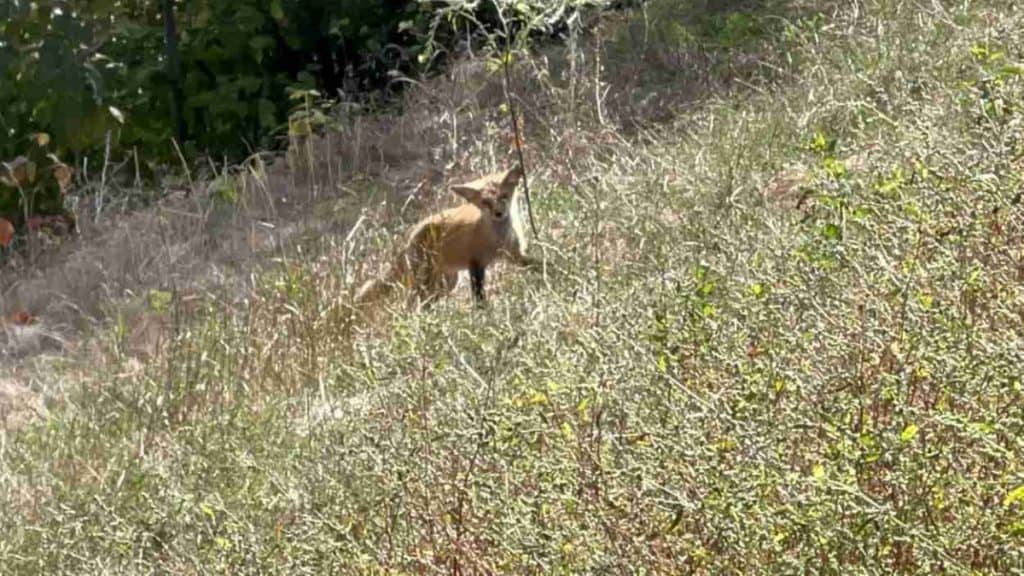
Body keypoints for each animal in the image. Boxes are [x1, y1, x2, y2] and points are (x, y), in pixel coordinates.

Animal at [355, 164, 535, 308]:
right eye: (485, 202)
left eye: (504, 196)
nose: (499, 213)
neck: (498, 239)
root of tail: (408, 238)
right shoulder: (476, 263)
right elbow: (479, 298)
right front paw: (484, 314)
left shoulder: (514, 256)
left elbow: (537, 264)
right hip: (427, 282)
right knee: (411, 303)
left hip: (446, 284)